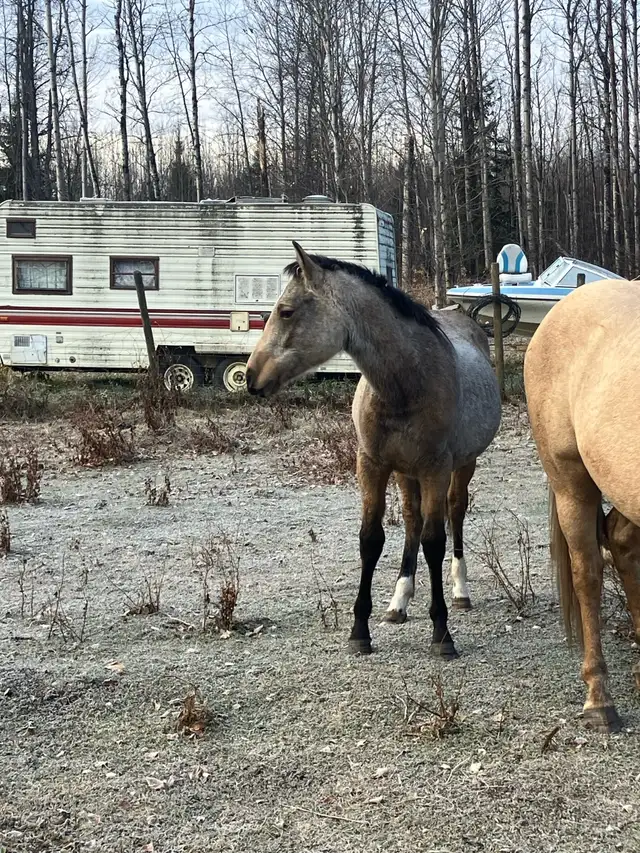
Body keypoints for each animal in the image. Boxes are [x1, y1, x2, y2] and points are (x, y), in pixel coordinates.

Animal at [247, 243, 501, 657]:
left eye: (286, 311)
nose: (252, 376)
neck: (406, 382)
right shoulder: (372, 465)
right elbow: (371, 539)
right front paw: (359, 631)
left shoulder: (435, 468)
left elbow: (435, 541)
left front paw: (441, 633)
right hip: (405, 471)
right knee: (413, 521)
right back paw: (399, 601)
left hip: (462, 465)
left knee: (455, 513)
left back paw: (460, 590)